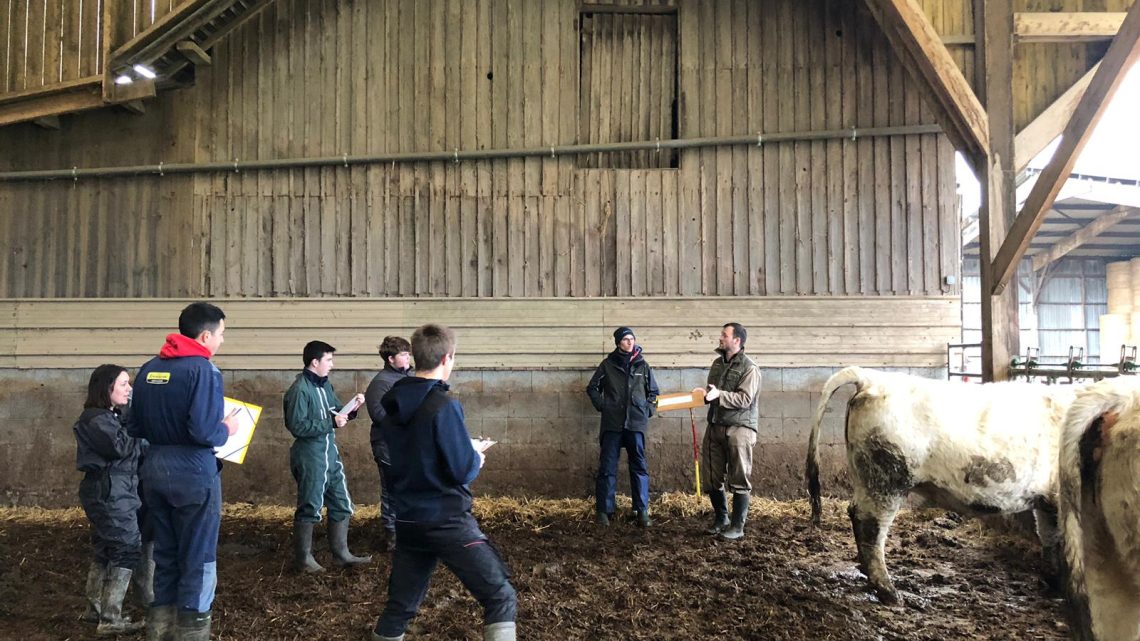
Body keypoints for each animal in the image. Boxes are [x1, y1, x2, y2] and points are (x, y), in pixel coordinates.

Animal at [807, 364, 1071, 602]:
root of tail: (870, 378)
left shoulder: (1047, 501)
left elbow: (1050, 537)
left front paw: (1054, 584)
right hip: (886, 480)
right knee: (869, 526)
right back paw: (889, 592)